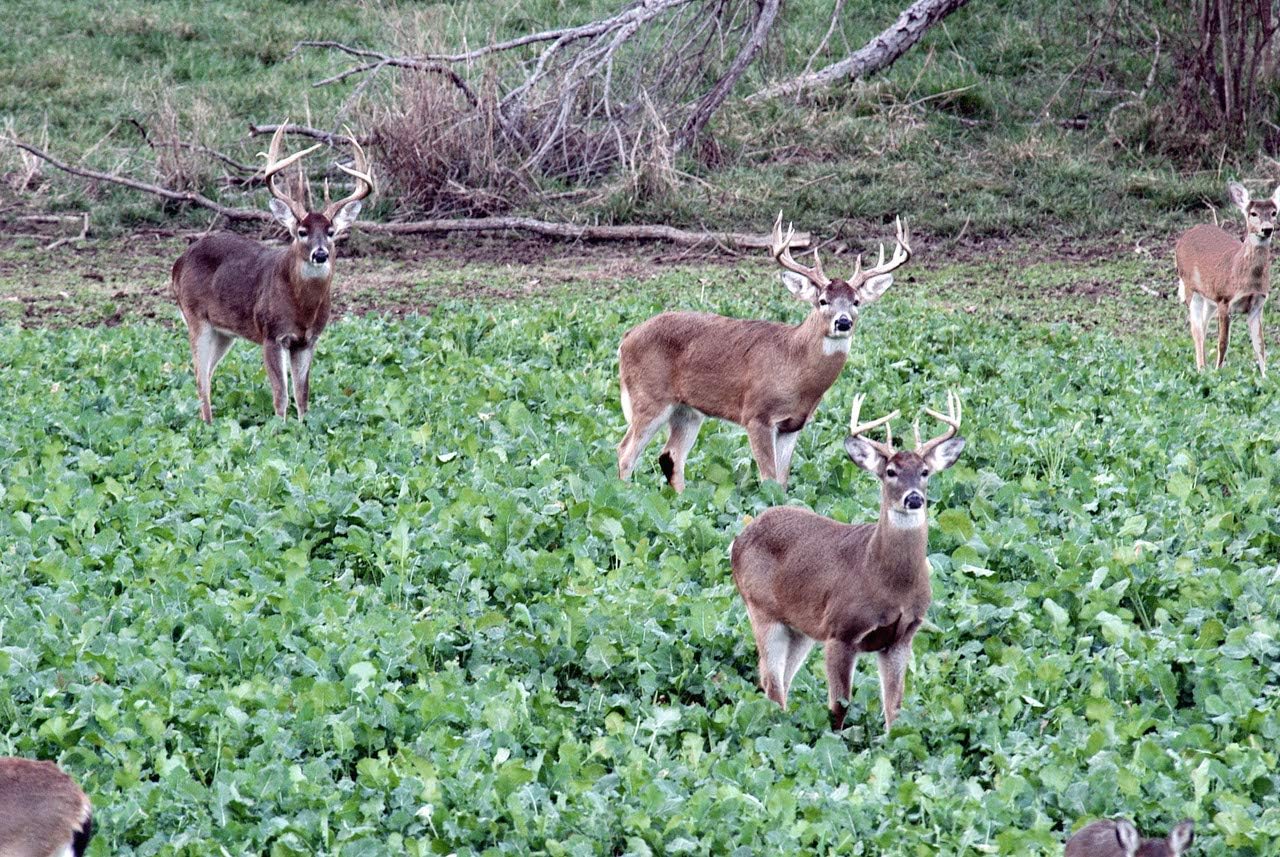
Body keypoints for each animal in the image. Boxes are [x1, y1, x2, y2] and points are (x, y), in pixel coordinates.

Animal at [171, 123, 374, 423]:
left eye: (331, 231)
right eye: (301, 231)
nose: (320, 254)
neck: (302, 308)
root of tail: (178, 263)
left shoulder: (307, 340)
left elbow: (303, 395)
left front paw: (303, 427)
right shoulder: (271, 334)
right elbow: (281, 395)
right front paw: (280, 429)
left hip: (224, 332)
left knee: (206, 373)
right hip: (196, 317)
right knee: (199, 377)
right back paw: (208, 426)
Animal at [617, 213, 911, 492]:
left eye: (856, 302)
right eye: (822, 301)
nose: (843, 322)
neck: (795, 367)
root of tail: (626, 338)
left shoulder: (794, 424)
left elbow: (781, 482)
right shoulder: (756, 414)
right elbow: (768, 478)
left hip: (688, 411)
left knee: (671, 456)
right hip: (649, 396)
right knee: (625, 452)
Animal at [730, 391, 965, 732]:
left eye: (925, 472)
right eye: (890, 472)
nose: (914, 498)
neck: (887, 584)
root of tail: (739, 539)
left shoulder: (902, 637)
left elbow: (894, 708)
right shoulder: (840, 630)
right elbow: (839, 706)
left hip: (800, 627)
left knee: (780, 680)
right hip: (761, 609)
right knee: (772, 683)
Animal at [1175, 180, 1279, 375]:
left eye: (1274, 212)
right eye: (1253, 213)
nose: (1267, 229)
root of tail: (1186, 234)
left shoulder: (1257, 304)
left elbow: (1260, 345)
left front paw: (1265, 376)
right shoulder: (1224, 299)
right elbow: (1223, 342)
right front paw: (1218, 372)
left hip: (1209, 297)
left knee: (1203, 324)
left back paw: (1204, 366)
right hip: (1191, 287)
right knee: (1196, 329)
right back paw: (1201, 369)